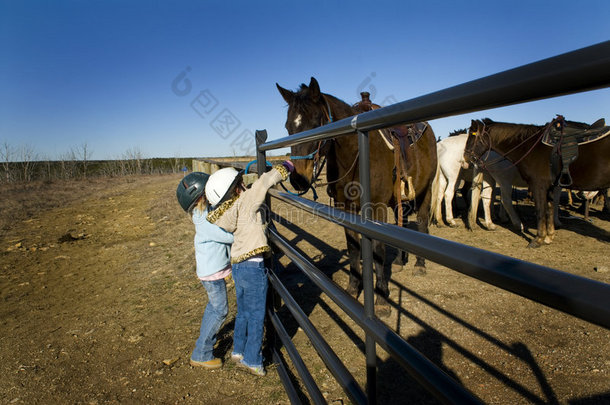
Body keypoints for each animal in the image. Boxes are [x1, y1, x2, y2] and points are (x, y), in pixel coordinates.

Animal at [276, 76, 436, 316]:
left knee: (423, 220)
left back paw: (419, 265)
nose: (298, 179)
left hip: (426, 190)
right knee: (402, 221)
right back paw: (400, 261)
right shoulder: (346, 209)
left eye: (317, 124)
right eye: (288, 127)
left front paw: (381, 299)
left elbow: (378, 249)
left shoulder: (376, 208)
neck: (356, 155)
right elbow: (353, 247)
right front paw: (353, 289)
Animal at [460, 117, 608, 246]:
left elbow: (548, 207)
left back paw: (492, 223)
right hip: (503, 179)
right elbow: (545, 208)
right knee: (505, 199)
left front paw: (549, 235)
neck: (529, 146)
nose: (465, 159)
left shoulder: (548, 185)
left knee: (487, 197)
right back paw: (516, 223)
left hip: (491, 178)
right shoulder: (542, 185)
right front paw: (542, 237)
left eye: (472, 137)